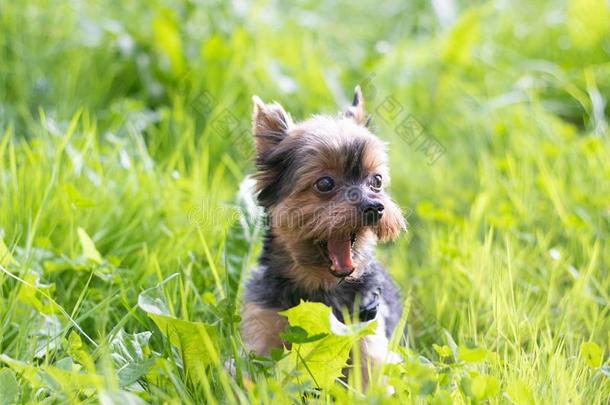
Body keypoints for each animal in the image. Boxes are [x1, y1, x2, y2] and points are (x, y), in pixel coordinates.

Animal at [240, 87, 406, 370]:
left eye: (376, 181)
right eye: (325, 183)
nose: (374, 207)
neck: (321, 288)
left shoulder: (366, 328)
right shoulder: (262, 324)